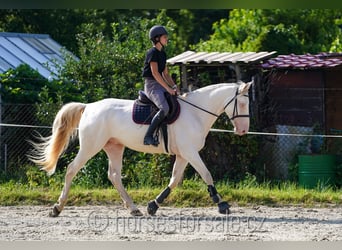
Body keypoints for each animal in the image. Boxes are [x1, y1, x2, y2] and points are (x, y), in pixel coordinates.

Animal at [28, 81, 251, 216]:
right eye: (241, 104)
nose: (243, 130)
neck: (195, 112)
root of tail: (89, 107)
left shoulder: (183, 154)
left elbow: (174, 180)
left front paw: (153, 205)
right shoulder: (190, 152)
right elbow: (206, 174)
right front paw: (221, 204)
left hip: (115, 147)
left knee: (114, 176)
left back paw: (134, 208)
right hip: (91, 146)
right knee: (72, 170)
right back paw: (57, 208)